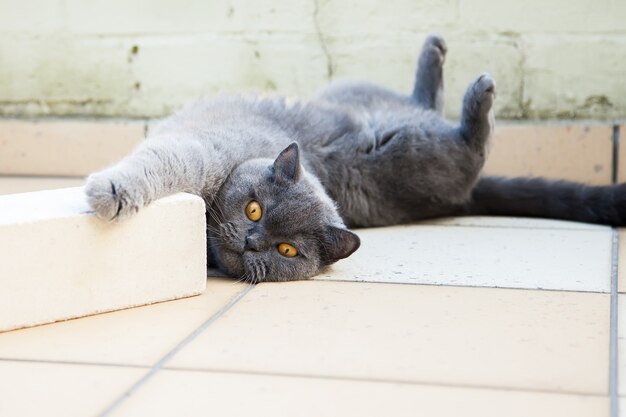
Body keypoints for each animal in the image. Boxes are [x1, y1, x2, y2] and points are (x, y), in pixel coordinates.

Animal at [84, 35, 624, 282]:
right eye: (254, 208)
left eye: (286, 251)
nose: (253, 240)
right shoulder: (198, 152)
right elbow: (158, 163)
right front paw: (109, 192)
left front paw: (107, 194)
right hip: (375, 110)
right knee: (430, 104)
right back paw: (441, 54)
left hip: (415, 157)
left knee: (472, 145)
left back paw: (476, 84)